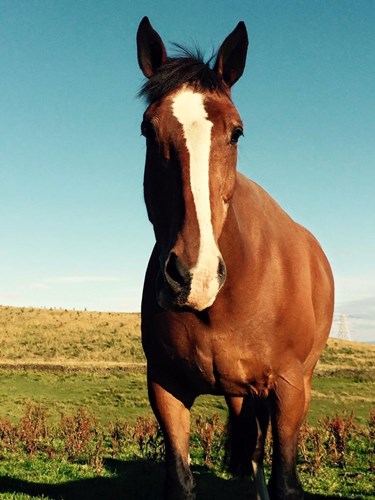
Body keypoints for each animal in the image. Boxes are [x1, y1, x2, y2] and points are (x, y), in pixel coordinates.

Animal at [137, 17, 334, 500]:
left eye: (236, 132)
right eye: (148, 130)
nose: (194, 276)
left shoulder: (287, 390)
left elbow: (285, 481)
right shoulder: (165, 388)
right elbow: (183, 479)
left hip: (296, 385)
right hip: (241, 393)